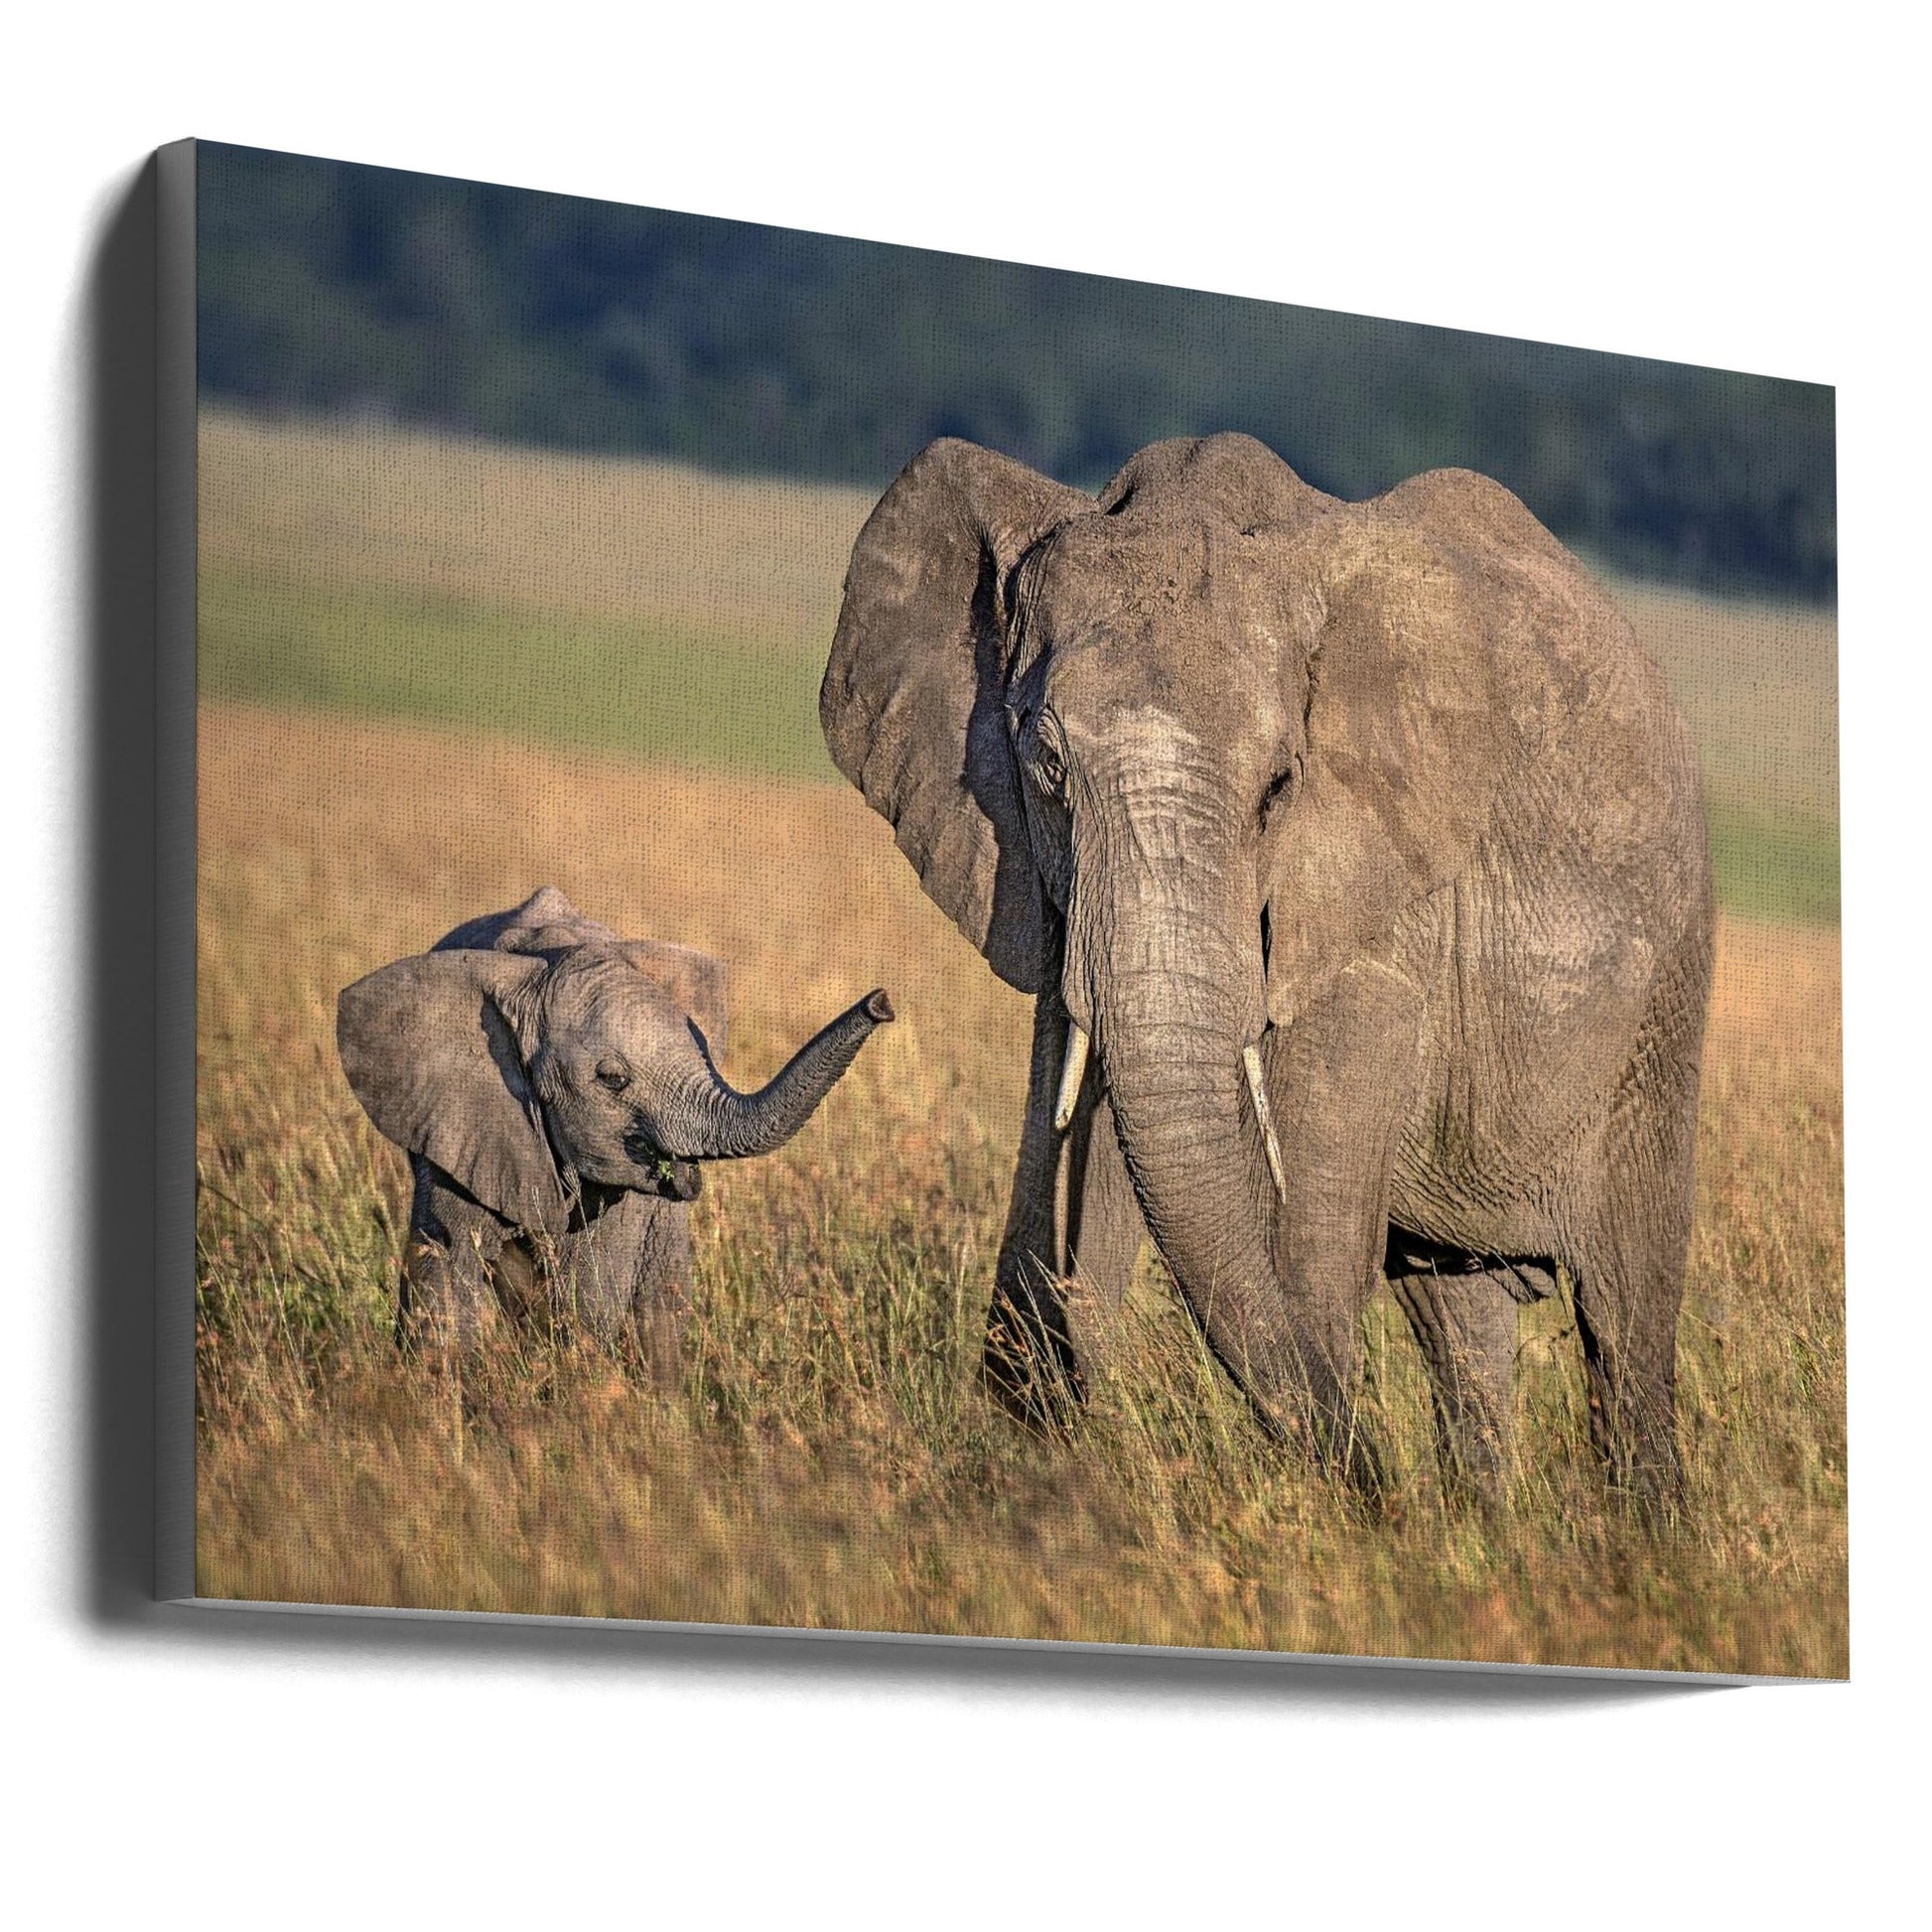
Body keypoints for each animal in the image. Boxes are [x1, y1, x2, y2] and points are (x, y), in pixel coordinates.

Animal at [820, 433, 1713, 1503]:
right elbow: (1077, 1143)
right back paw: (1478, 1519)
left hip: (1660, 1008)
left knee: (1625, 1312)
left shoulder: (1380, 907)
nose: (1384, 1483)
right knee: (1461, 1315)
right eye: (1045, 764)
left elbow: (1300, 1227)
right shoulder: (1046, 892)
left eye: (1279, 786)